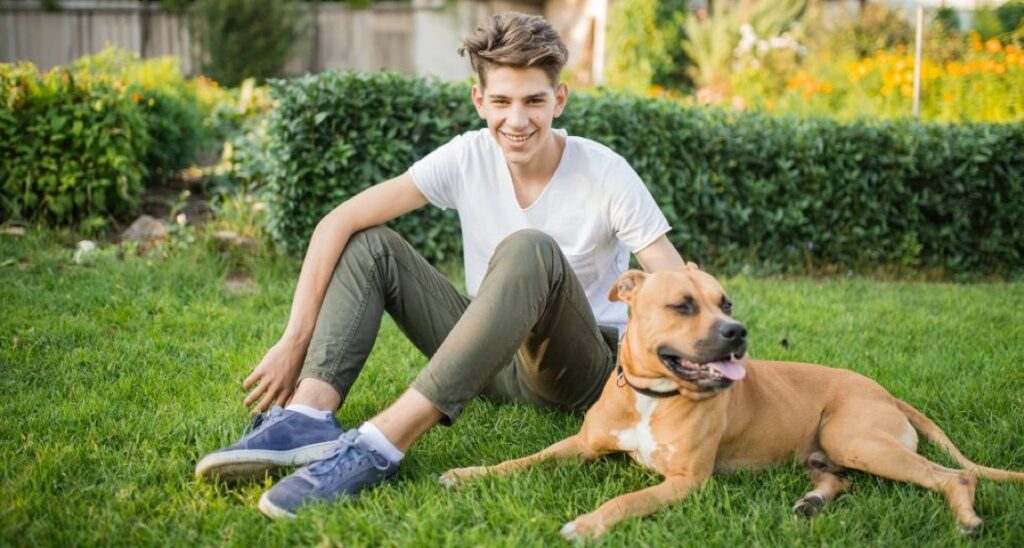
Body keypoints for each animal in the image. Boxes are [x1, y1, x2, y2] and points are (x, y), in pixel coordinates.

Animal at [440, 264, 1024, 540]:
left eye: (727, 302)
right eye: (682, 305)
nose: (737, 331)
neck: (653, 397)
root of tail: (889, 394)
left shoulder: (685, 481)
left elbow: (626, 500)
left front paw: (588, 524)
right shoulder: (581, 444)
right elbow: (523, 460)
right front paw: (468, 474)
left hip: (855, 437)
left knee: (954, 476)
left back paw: (968, 521)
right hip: (825, 449)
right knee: (841, 480)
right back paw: (812, 503)